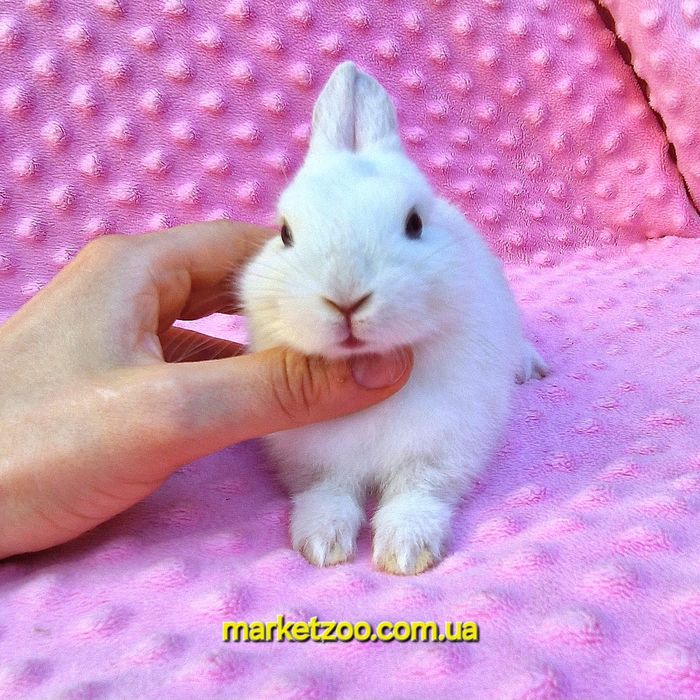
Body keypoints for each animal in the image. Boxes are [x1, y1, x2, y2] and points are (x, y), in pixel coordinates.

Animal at [239, 61, 548, 575]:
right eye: (284, 234)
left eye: (415, 224)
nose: (345, 297)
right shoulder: (315, 462)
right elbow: (326, 495)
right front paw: (321, 545)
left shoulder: (439, 449)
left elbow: (416, 496)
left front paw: (405, 553)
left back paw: (529, 366)